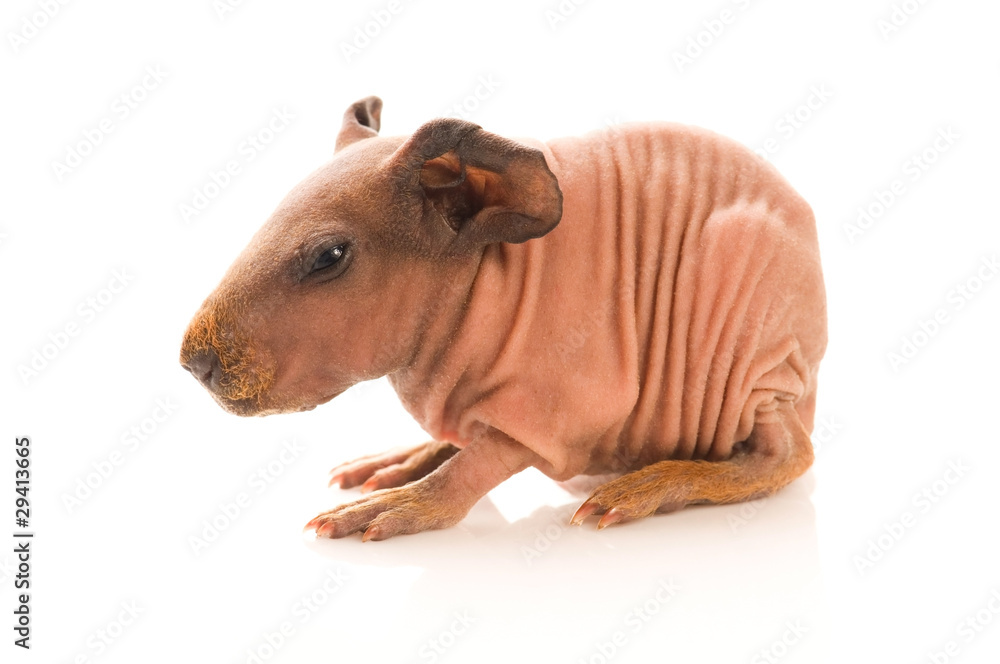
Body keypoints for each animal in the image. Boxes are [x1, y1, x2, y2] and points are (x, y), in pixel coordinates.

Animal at [180, 96, 827, 541]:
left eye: (328, 257)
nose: (194, 362)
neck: (480, 282)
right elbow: (458, 445)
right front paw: (403, 464)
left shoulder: (556, 411)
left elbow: (477, 465)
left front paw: (400, 505)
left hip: (755, 356)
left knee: (787, 456)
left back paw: (655, 483)